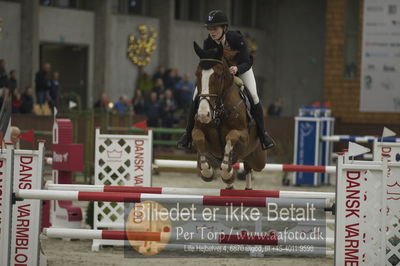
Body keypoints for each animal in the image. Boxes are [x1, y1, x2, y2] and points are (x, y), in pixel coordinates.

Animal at [191, 42, 266, 189]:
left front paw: (228, 172)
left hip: (258, 159)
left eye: (219, 75)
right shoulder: (198, 131)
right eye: (197, 74)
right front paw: (207, 172)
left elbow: (231, 137)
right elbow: (198, 138)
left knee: (250, 166)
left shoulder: (243, 136)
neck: (219, 112)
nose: (203, 114)